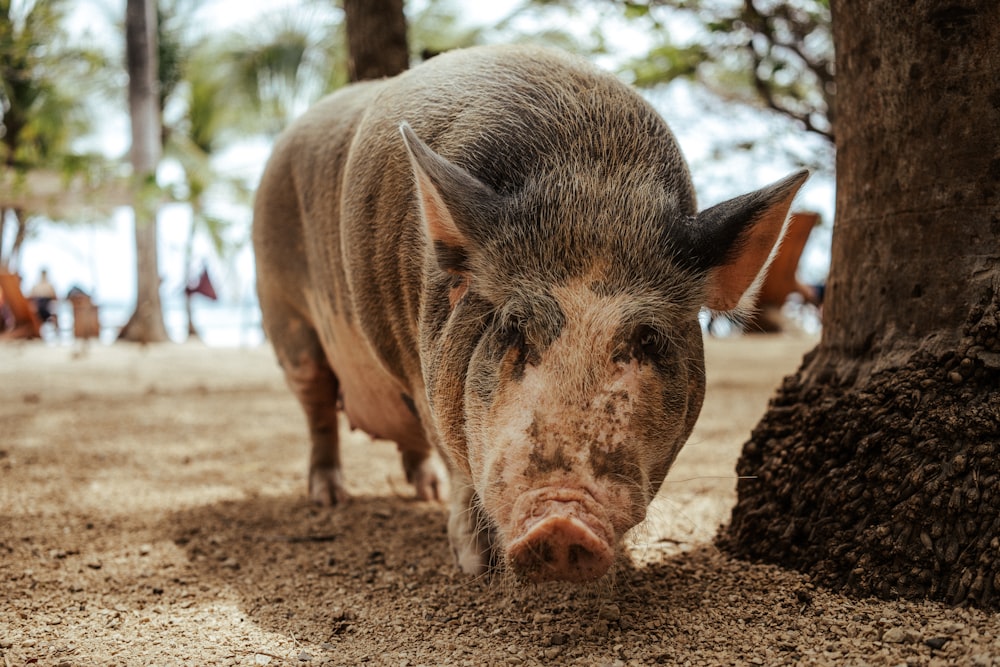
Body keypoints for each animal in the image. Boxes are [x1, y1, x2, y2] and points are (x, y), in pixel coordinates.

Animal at [250, 43, 804, 584]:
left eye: (648, 338)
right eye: (513, 327)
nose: (561, 521)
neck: (592, 185)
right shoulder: (415, 364)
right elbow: (454, 458)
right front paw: (475, 568)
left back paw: (423, 494)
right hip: (285, 315)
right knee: (319, 409)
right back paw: (330, 499)